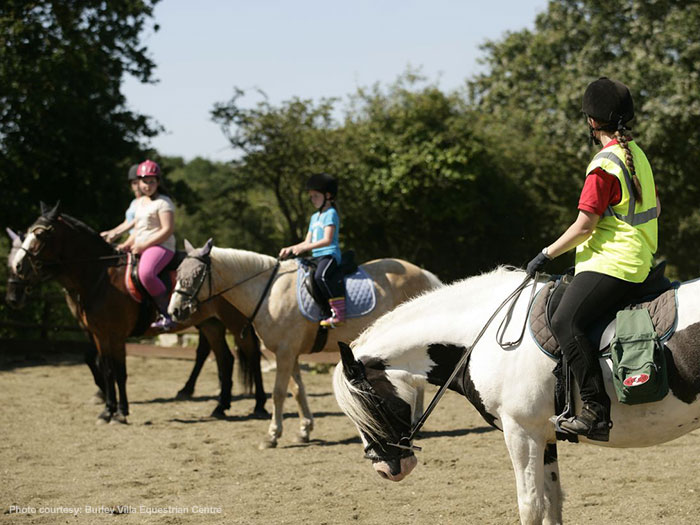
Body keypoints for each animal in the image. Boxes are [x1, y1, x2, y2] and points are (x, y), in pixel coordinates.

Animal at [10, 205, 268, 422]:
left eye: (40, 235)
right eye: (27, 233)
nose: (18, 267)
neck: (100, 276)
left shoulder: (116, 334)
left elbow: (120, 371)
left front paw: (121, 412)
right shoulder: (98, 334)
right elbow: (106, 369)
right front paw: (107, 410)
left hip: (236, 322)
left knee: (252, 355)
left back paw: (259, 406)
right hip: (210, 323)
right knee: (224, 359)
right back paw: (220, 407)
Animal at [332, 268, 700, 520]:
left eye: (371, 403)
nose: (386, 469)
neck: (481, 334)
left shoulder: (521, 432)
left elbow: (531, 505)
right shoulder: (544, 435)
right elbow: (552, 502)